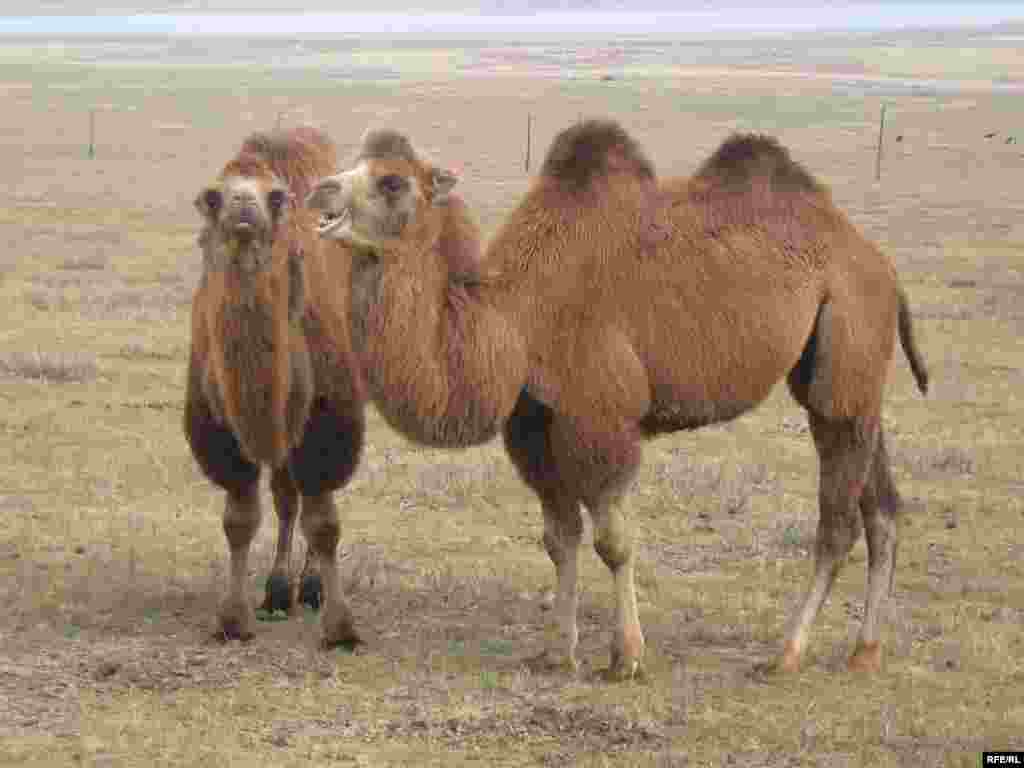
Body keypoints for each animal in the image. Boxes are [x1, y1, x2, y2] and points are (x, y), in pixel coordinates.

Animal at [303, 118, 929, 679]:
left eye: (392, 182)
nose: (319, 191)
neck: (514, 321)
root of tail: (879, 262)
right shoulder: (535, 427)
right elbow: (559, 540)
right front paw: (557, 651)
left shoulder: (600, 419)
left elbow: (613, 542)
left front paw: (626, 657)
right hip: (848, 376)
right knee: (881, 507)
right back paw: (864, 652)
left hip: (847, 331)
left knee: (838, 521)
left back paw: (787, 655)